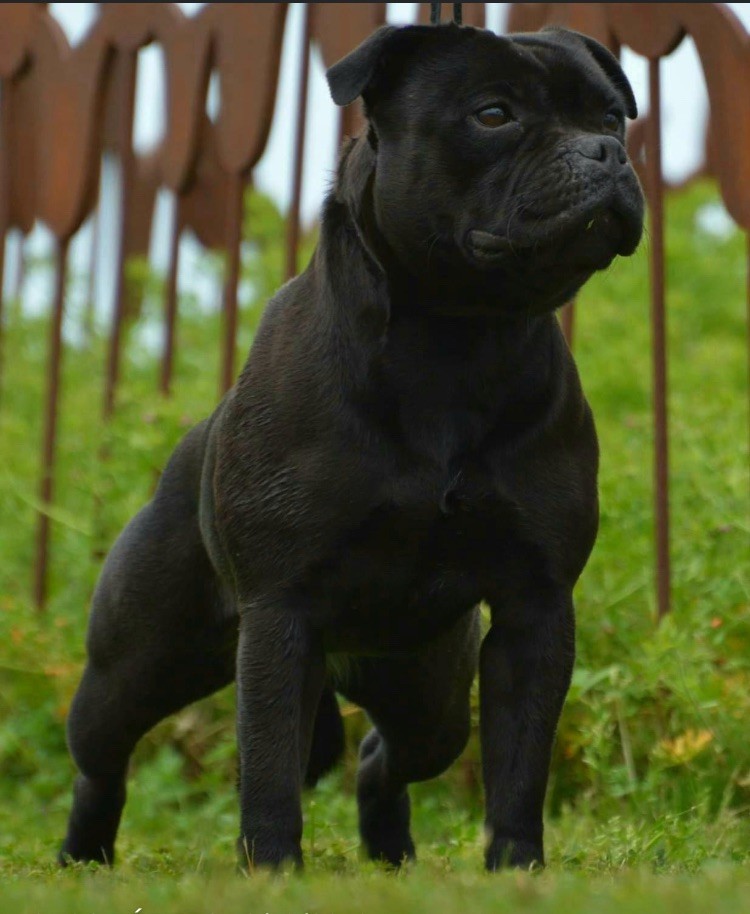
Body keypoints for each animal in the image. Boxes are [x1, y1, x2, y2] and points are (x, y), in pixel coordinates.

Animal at [60, 23, 648, 868]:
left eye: (610, 118)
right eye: (494, 114)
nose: (606, 153)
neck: (456, 338)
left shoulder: (534, 610)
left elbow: (519, 764)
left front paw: (518, 870)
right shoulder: (280, 614)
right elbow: (269, 769)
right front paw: (273, 870)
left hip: (429, 693)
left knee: (386, 758)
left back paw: (391, 855)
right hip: (135, 663)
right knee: (102, 757)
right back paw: (84, 856)